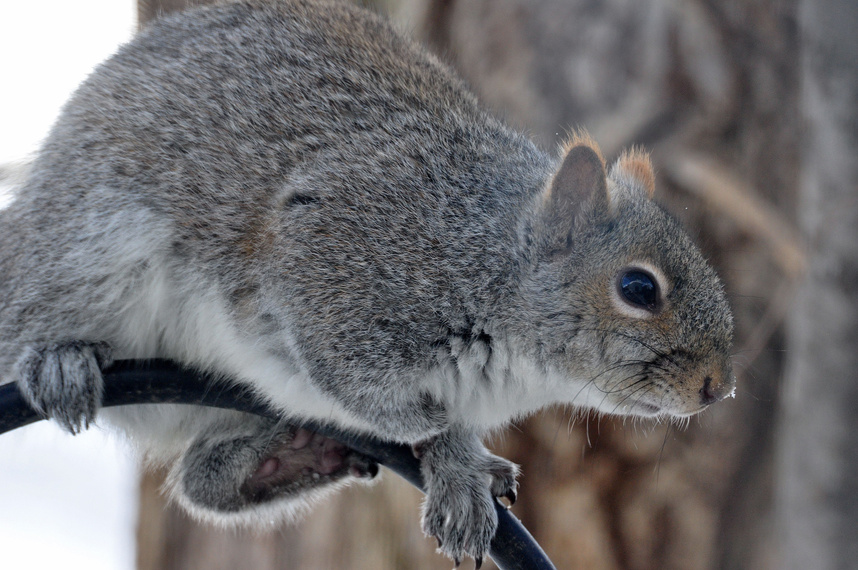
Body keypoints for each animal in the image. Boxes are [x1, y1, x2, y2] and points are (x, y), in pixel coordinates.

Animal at [0, 0, 736, 560]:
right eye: (639, 289)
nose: (718, 388)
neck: (487, 257)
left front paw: (465, 465)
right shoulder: (331, 265)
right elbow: (362, 388)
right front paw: (435, 434)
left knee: (200, 481)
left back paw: (287, 457)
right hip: (89, 253)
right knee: (41, 320)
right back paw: (60, 361)